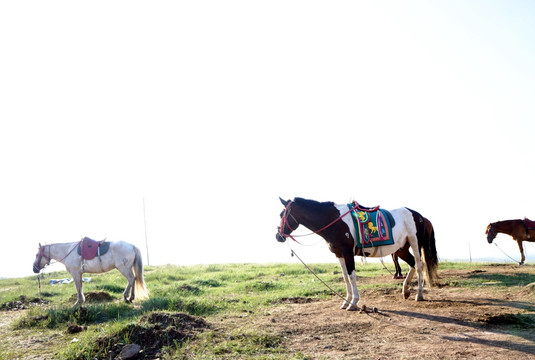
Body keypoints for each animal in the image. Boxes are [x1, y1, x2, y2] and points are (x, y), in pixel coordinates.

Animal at [276, 198, 440, 310]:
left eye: (282, 214)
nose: (278, 236)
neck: (335, 221)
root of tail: (419, 216)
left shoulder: (348, 252)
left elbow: (352, 276)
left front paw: (353, 302)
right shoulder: (339, 255)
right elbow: (345, 278)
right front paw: (346, 301)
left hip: (415, 243)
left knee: (419, 266)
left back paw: (419, 295)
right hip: (401, 249)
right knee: (412, 265)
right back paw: (405, 290)